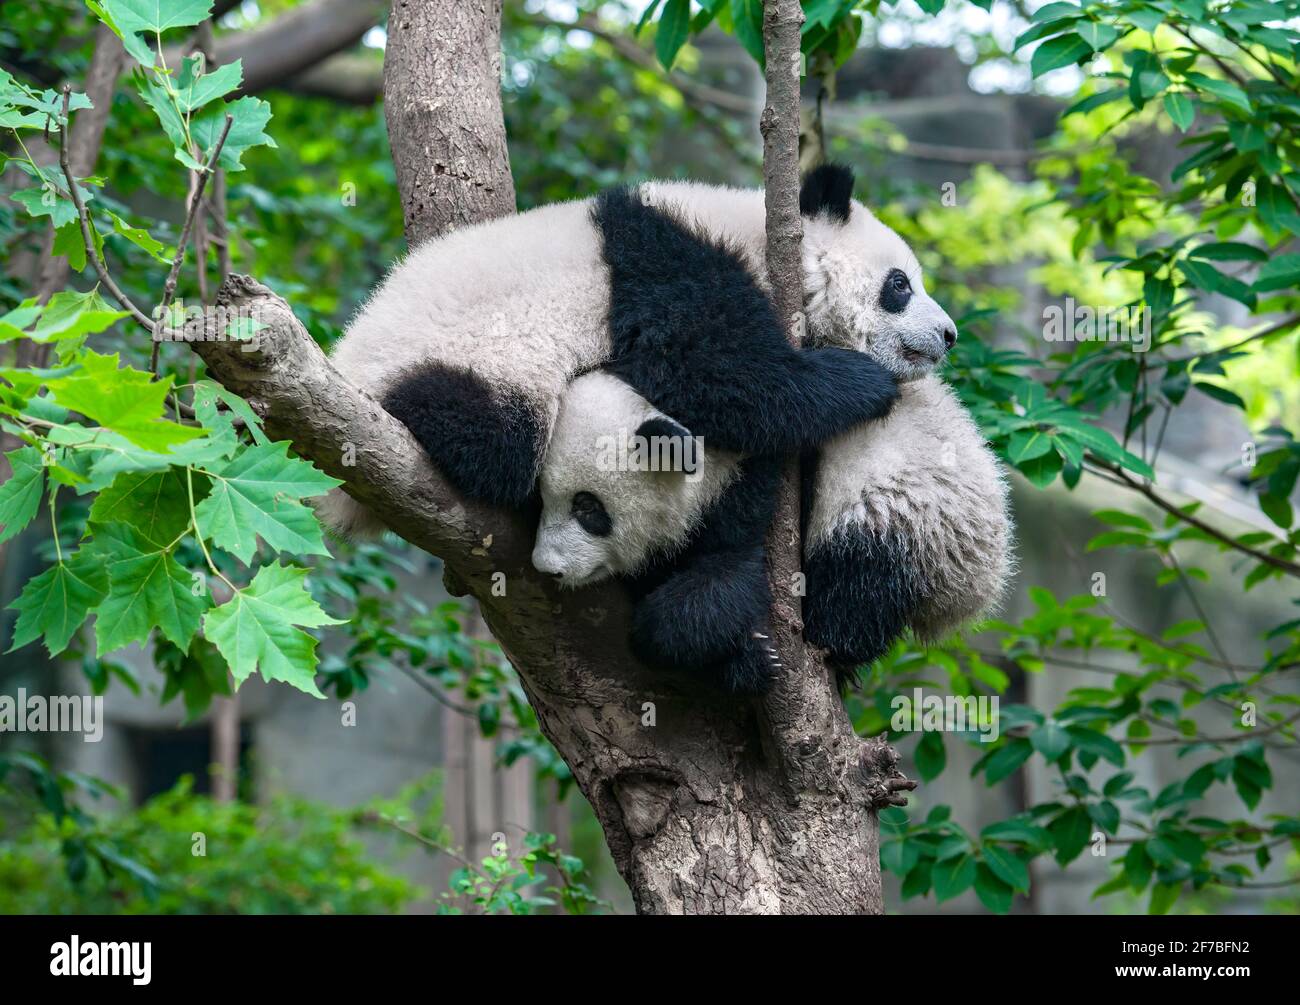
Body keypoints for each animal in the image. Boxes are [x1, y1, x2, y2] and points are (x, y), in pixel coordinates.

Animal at [320, 165, 953, 535]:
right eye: (900, 284)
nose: (948, 335)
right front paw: (859, 380)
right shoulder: (672, 265)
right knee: (492, 437)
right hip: (476, 357)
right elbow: (711, 372)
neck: (763, 240)